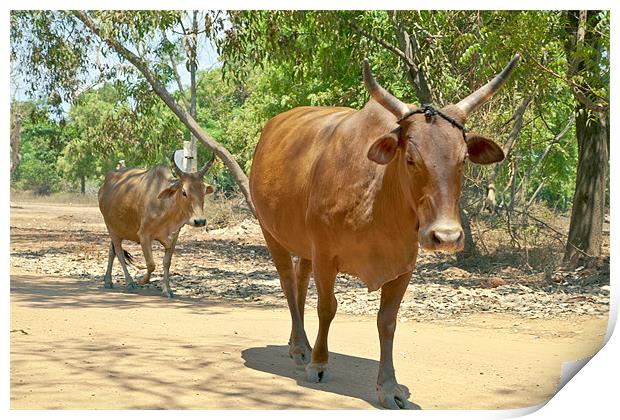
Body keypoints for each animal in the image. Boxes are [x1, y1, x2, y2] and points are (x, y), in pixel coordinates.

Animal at [97, 155, 213, 298]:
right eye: (184, 192)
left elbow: (166, 263)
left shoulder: (174, 236)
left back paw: (108, 281)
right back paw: (129, 282)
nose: (200, 221)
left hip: (116, 229)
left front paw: (167, 290)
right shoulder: (144, 235)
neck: (165, 206)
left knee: (111, 252)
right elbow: (151, 264)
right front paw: (142, 280)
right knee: (119, 253)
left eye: (203, 192)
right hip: (110, 228)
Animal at [249, 55, 516, 406]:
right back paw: (302, 349)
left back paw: (299, 344)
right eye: (411, 158)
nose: (446, 237)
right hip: (270, 231)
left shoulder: (403, 266)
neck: (376, 199)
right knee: (288, 282)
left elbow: (387, 321)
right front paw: (319, 364)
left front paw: (388, 387)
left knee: (300, 279)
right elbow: (327, 307)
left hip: (304, 245)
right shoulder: (325, 256)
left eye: (462, 160)